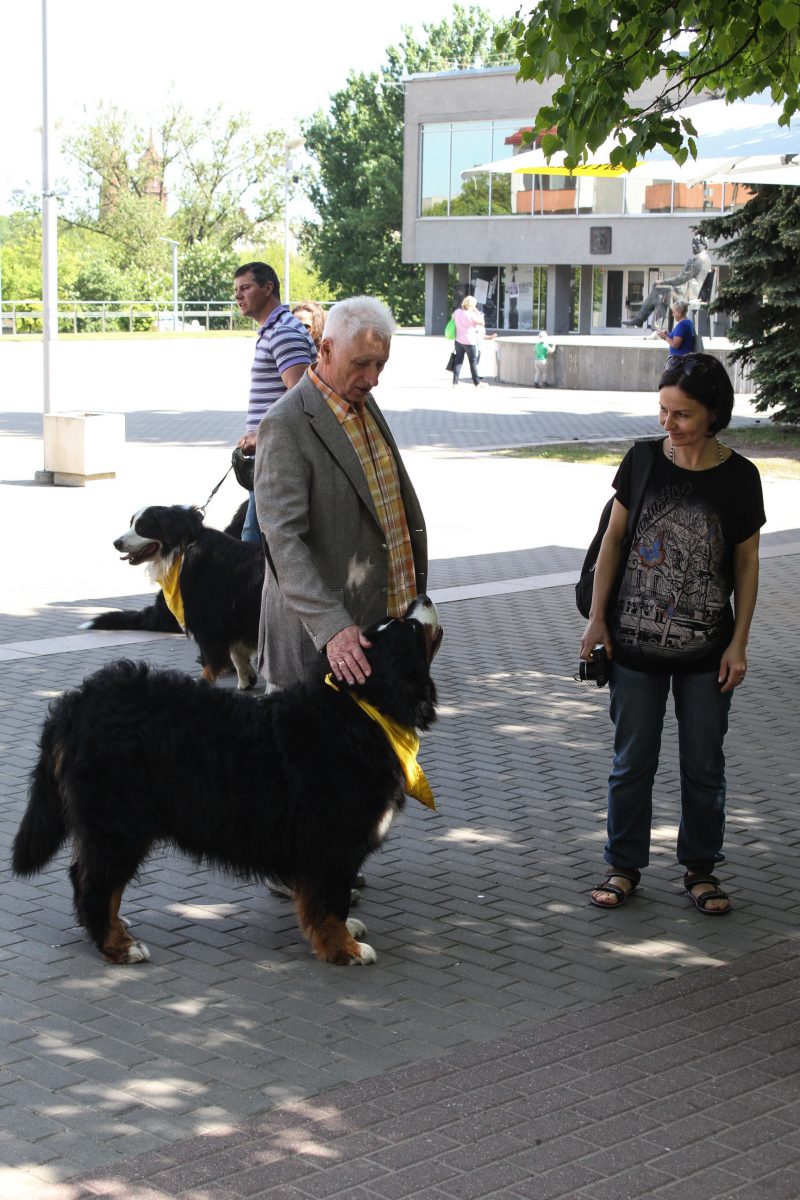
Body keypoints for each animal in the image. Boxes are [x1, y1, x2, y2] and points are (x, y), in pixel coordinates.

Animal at [11, 595, 442, 967]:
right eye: (408, 627)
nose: (421, 597)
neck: (363, 711)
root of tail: (78, 700)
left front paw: (344, 932)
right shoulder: (333, 843)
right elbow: (329, 901)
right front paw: (344, 948)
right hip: (120, 822)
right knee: (96, 883)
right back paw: (119, 946)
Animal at [83, 504, 263, 689]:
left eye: (142, 527)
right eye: (131, 523)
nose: (116, 543)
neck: (182, 551)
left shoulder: (207, 621)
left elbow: (211, 662)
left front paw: (201, 684)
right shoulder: (232, 620)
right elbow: (236, 652)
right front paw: (246, 678)